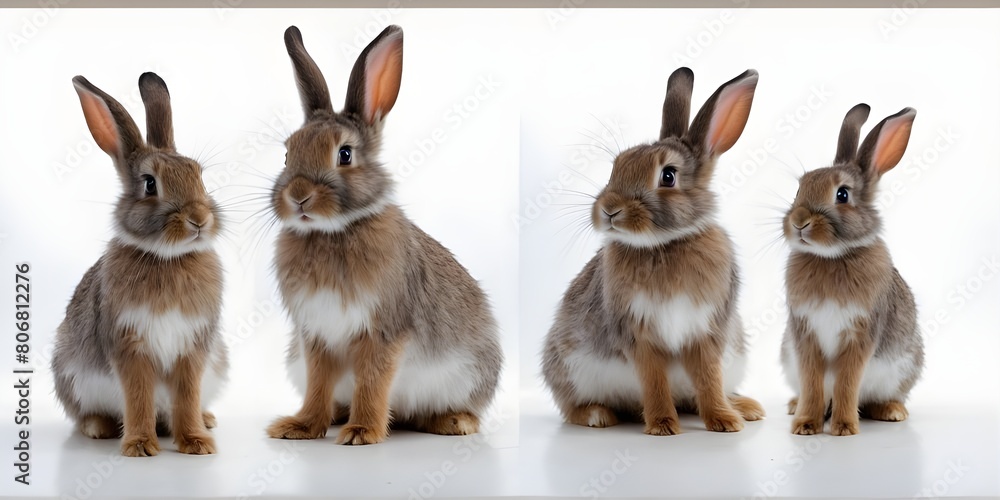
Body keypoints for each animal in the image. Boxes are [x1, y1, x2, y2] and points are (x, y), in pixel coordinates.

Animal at [51, 73, 229, 456]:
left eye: (199, 176)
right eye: (150, 184)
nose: (198, 219)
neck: (167, 257)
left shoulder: (193, 349)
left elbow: (186, 397)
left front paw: (196, 442)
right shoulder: (129, 347)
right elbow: (137, 397)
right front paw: (140, 446)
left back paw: (206, 420)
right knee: (85, 413)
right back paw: (98, 428)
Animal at [265, 25, 503, 446]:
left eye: (344, 154)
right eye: (287, 154)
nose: (298, 196)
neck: (332, 232)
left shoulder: (384, 332)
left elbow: (374, 382)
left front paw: (362, 433)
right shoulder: (316, 336)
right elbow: (318, 385)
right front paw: (300, 427)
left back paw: (453, 422)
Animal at [541, 67, 765, 435]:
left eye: (668, 176)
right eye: (615, 167)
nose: (610, 210)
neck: (665, 244)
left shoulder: (706, 332)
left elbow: (708, 379)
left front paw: (724, 421)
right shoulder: (638, 334)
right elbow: (654, 380)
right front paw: (662, 426)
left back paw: (745, 407)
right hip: (568, 367)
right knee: (570, 406)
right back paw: (597, 415)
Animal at [780, 103, 924, 436]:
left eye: (842, 194)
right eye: (799, 189)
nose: (799, 221)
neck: (831, 257)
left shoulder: (861, 334)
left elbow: (847, 381)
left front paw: (844, 428)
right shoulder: (805, 334)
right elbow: (813, 383)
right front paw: (805, 425)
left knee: (875, 399)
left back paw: (892, 411)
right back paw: (794, 406)